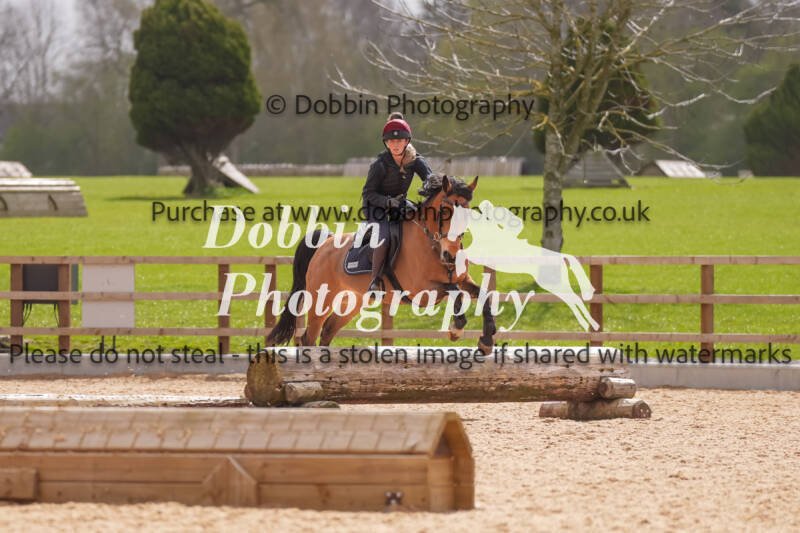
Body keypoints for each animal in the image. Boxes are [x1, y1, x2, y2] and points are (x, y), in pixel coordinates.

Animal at [265, 174, 497, 353]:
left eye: (468, 214)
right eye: (443, 212)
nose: (450, 255)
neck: (433, 244)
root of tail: (325, 243)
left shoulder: (462, 279)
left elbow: (482, 295)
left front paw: (486, 341)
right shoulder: (422, 291)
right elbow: (454, 291)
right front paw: (456, 329)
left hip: (352, 301)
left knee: (328, 330)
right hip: (321, 299)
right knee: (309, 337)